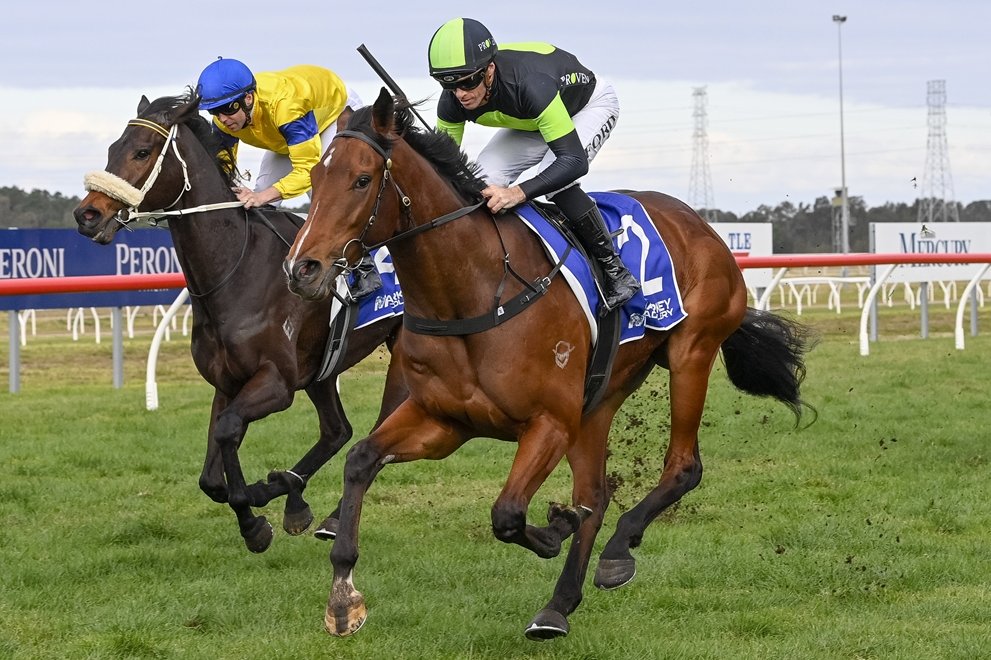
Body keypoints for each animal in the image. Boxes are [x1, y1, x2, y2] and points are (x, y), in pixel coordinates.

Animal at [73, 92, 407, 553]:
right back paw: (299, 496)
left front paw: (256, 518)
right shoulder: (229, 382)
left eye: (141, 152)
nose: (87, 214)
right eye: (111, 149)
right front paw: (271, 501)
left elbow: (229, 433)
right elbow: (211, 476)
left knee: (379, 429)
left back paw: (331, 514)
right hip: (321, 368)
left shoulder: (276, 382)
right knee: (337, 430)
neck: (236, 269)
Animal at [284, 88, 815, 639]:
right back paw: (559, 605)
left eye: (362, 180)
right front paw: (343, 595)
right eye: (314, 178)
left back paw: (617, 549)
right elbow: (360, 459)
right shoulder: (444, 420)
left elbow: (508, 514)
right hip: (600, 396)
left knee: (682, 467)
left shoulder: (549, 422)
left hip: (691, 353)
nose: (302, 268)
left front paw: (556, 526)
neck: (475, 294)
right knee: (596, 494)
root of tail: (701, 225)